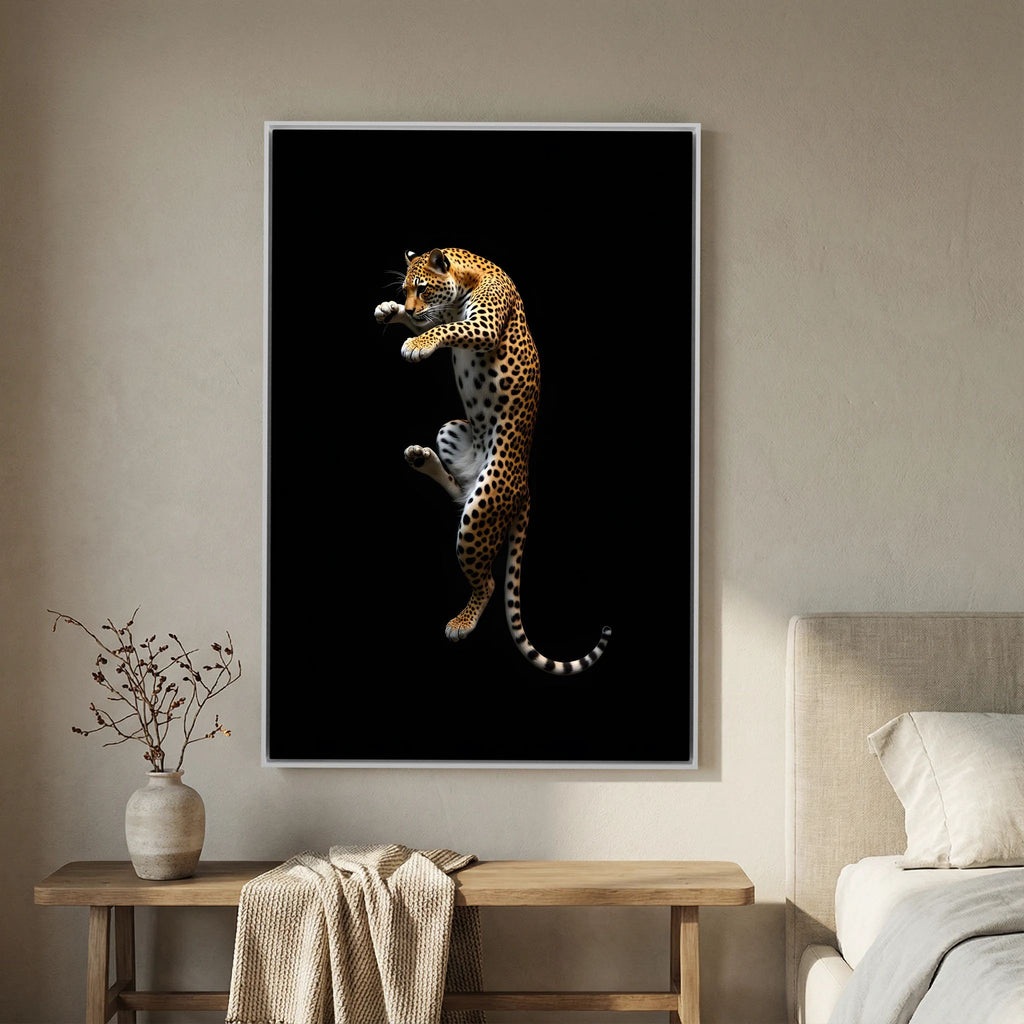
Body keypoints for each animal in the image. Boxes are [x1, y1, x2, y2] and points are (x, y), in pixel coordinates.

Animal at [374, 247, 611, 675]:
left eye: (422, 287)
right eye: (406, 289)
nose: (409, 306)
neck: (467, 276)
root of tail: (525, 486)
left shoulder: (480, 326)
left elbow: (445, 330)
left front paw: (416, 342)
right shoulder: (447, 315)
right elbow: (434, 321)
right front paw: (391, 310)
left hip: (482, 508)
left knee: (485, 581)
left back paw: (461, 624)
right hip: (451, 430)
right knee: (458, 489)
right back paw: (420, 457)